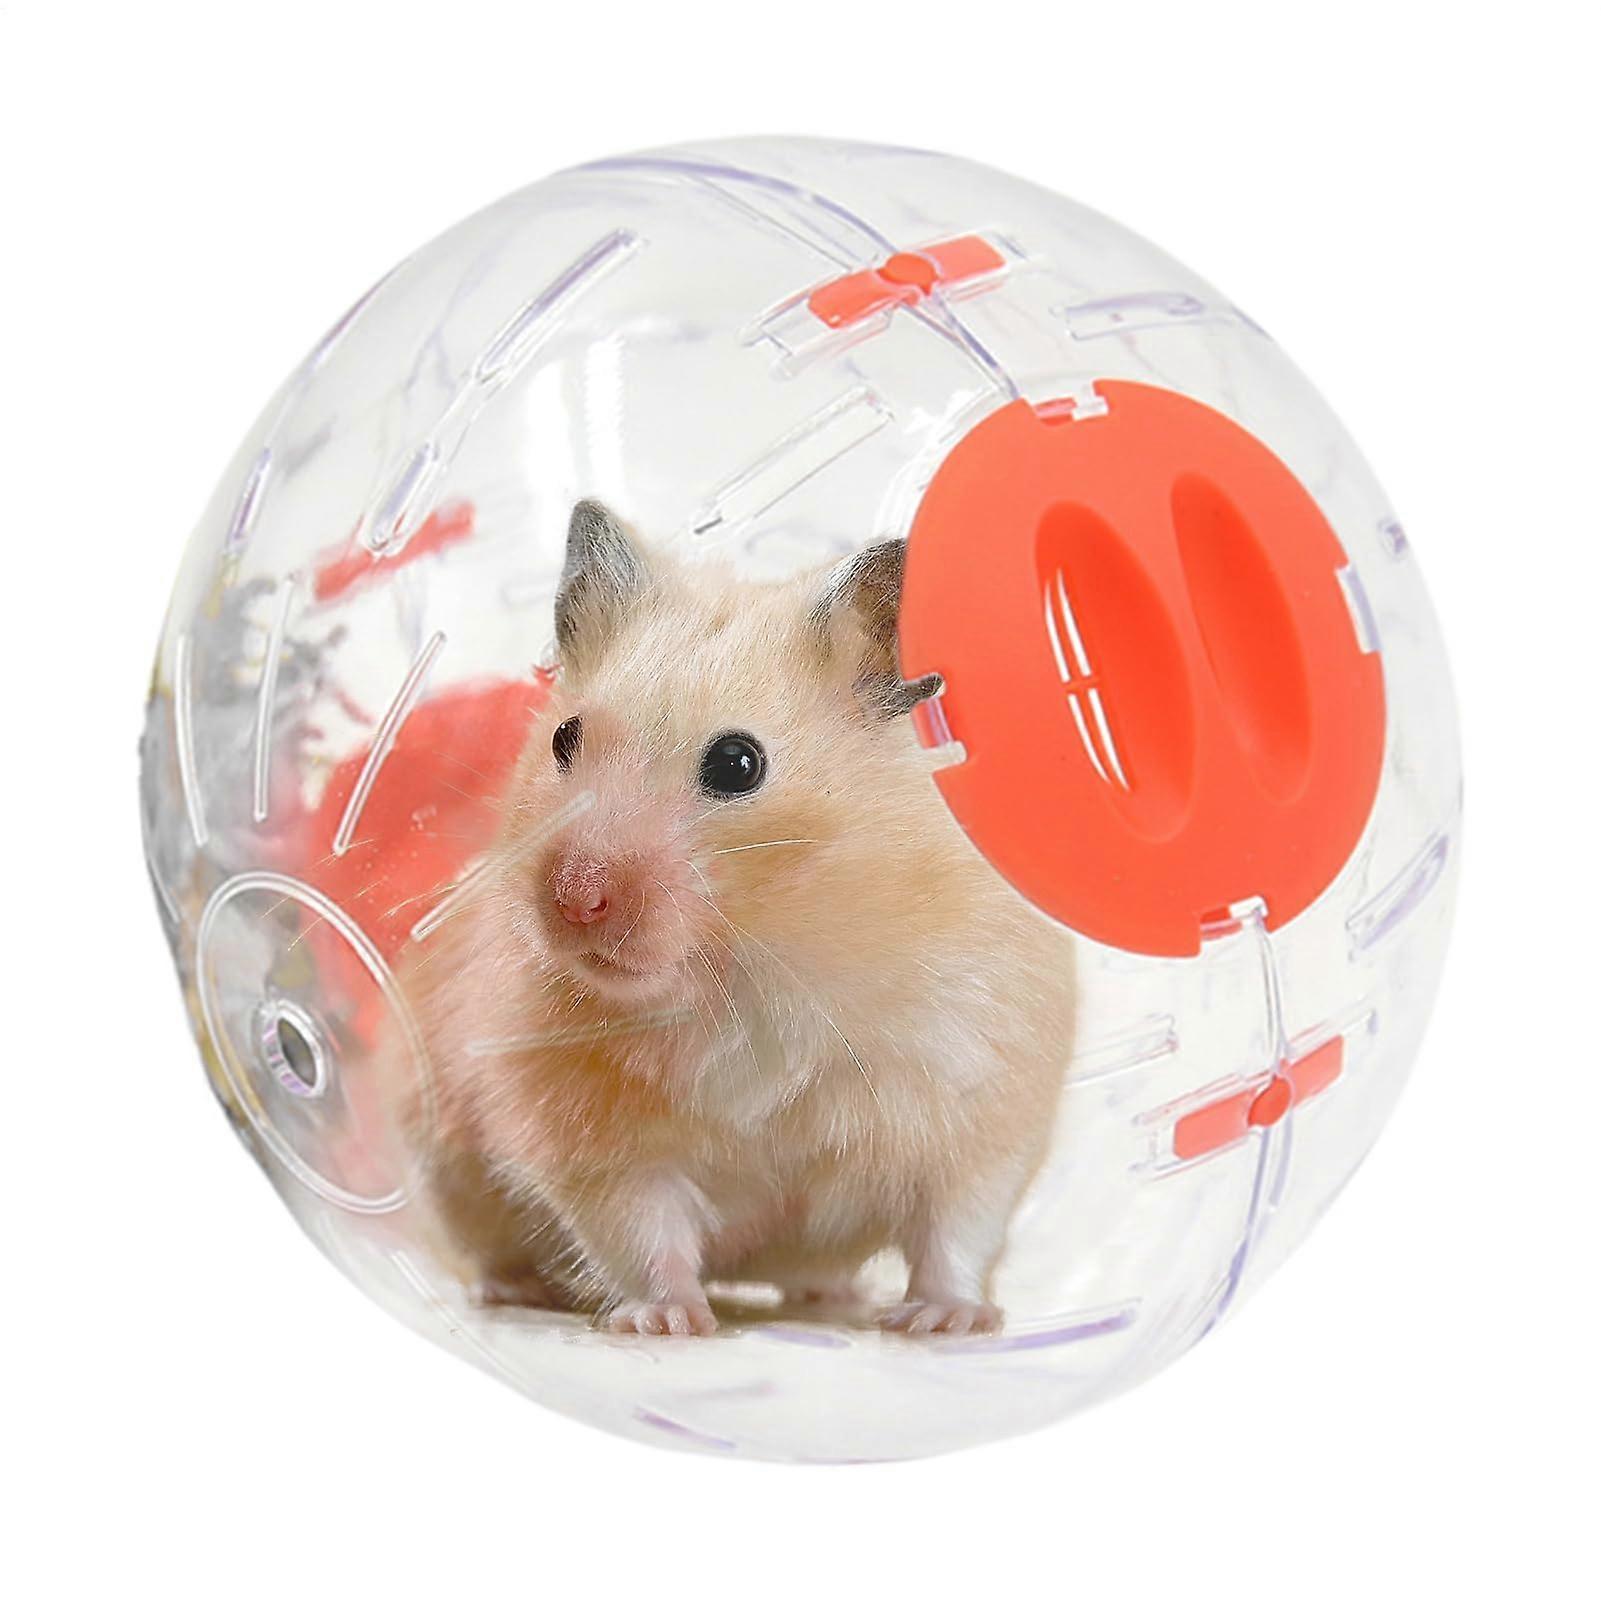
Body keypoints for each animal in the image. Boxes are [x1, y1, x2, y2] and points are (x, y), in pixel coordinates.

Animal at [391, 500, 1075, 1335]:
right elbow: (641, 1232)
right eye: (562, 737)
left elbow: (957, 1229)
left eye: (737, 763)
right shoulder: (593, 1140)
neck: (751, 959)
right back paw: (517, 1291)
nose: (573, 899)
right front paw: (665, 1322)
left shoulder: (981, 1103)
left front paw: (945, 1322)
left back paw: (843, 1299)